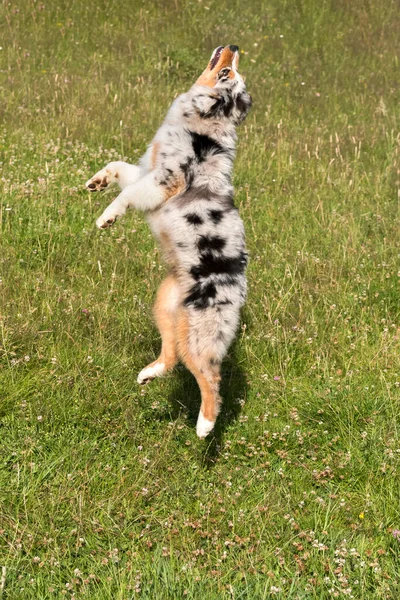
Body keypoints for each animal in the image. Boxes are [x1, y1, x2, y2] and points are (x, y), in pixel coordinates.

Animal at [86, 44, 252, 438]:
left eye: (228, 75)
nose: (234, 47)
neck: (199, 123)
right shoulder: (146, 169)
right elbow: (118, 168)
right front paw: (97, 181)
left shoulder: (165, 179)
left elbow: (127, 194)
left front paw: (107, 216)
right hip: (165, 308)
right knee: (173, 356)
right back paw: (150, 373)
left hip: (200, 333)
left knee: (211, 377)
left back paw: (205, 424)